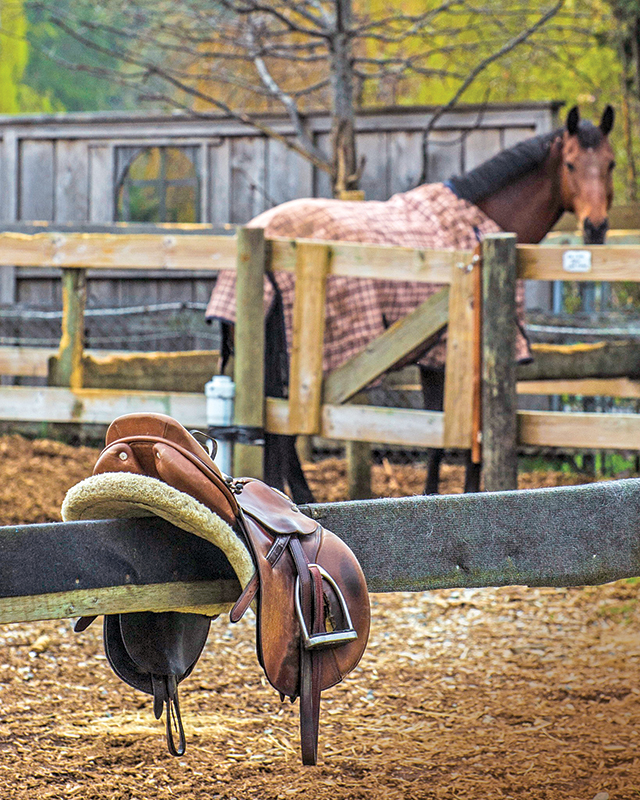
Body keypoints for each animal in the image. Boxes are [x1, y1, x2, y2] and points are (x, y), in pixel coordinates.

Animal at [206, 105, 616, 502]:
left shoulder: (432, 360)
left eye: (610, 163)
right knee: (284, 436)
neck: (480, 229)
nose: (595, 227)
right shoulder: (457, 360)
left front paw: (431, 493)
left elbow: (436, 434)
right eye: (570, 164)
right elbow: (460, 439)